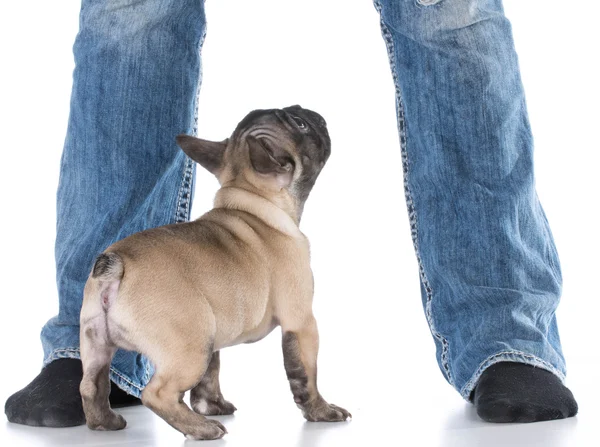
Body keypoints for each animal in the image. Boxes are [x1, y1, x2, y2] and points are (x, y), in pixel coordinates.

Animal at [79, 106, 352, 440]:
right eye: (300, 124)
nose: (303, 109)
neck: (254, 202)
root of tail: (117, 263)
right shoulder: (301, 322)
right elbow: (306, 374)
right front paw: (322, 412)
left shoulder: (217, 333)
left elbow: (212, 373)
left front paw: (213, 405)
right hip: (190, 345)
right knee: (156, 394)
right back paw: (201, 428)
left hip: (98, 343)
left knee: (91, 384)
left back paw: (105, 422)